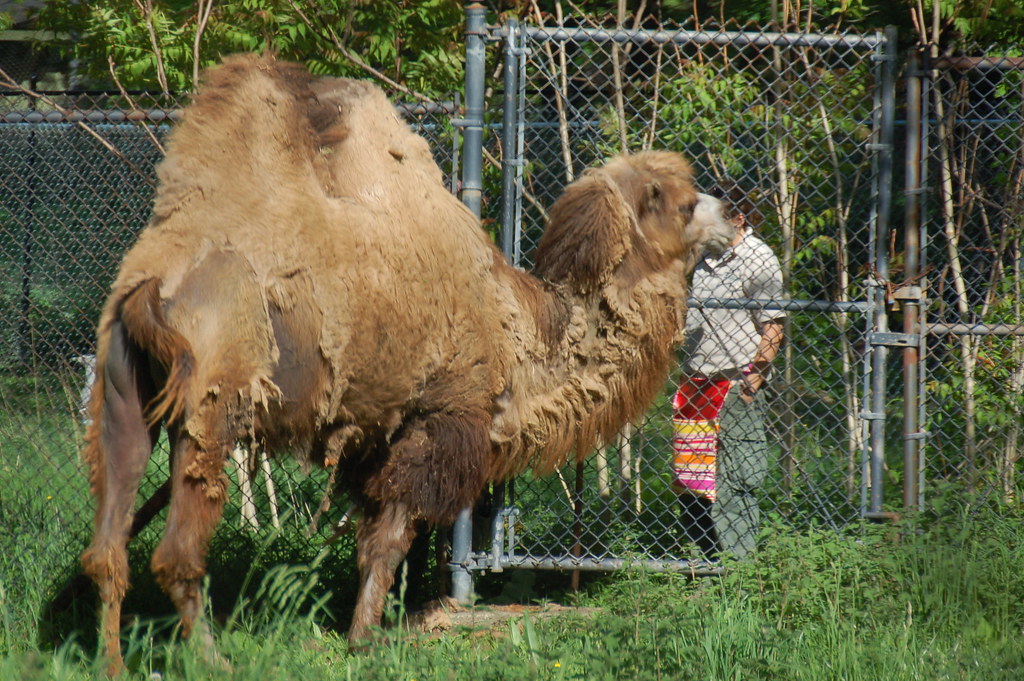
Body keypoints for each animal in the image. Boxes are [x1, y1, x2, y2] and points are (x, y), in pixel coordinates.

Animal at [80, 54, 736, 673]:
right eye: (683, 204)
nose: (730, 213)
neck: (514, 331)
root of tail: (152, 288)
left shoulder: (374, 434)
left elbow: (380, 539)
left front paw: (375, 626)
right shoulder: (436, 420)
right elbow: (389, 541)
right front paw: (366, 639)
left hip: (121, 399)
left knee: (107, 547)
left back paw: (111, 663)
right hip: (213, 409)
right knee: (176, 554)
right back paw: (213, 660)